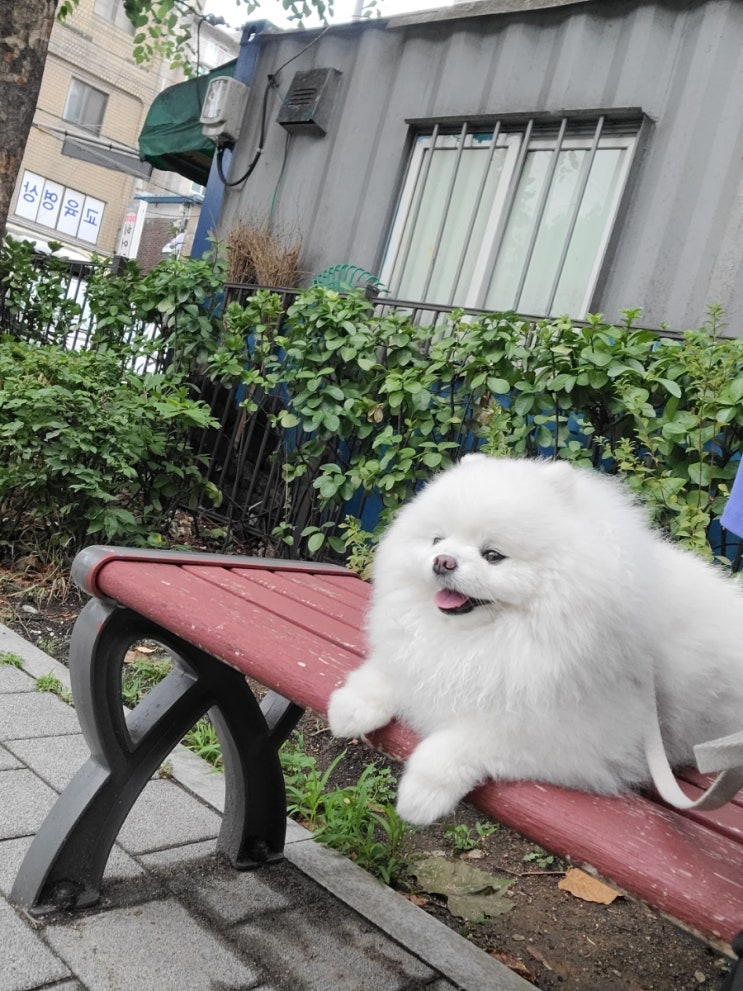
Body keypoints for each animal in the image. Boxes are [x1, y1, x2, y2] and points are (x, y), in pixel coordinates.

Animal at [327, 455, 743, 825]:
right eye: (437, 540)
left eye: (493, 555)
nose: (442, 561)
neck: (491, 637)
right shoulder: (426, 659)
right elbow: (388, 674)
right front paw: (348, 708)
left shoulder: (572, 738)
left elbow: (461, 741)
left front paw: (421, 795)